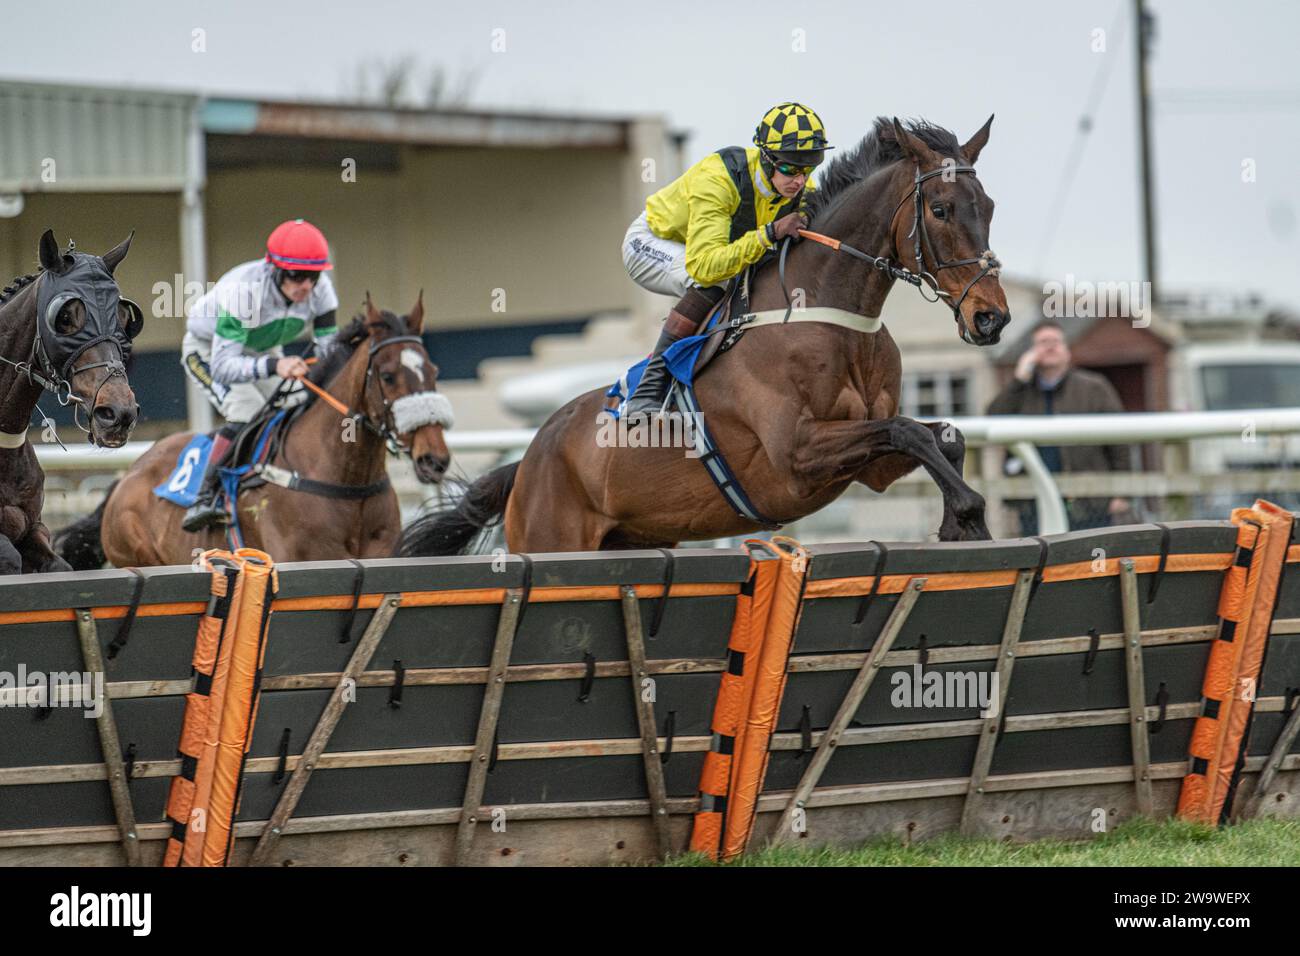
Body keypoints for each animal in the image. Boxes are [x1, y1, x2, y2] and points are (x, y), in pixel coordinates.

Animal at [0, 230, 141, 574]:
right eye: (64, 317)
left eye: (124, 317)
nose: (118, 413)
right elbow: (8, 557)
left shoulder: (33, 527)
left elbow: (59, 566)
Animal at [400, 117, 1008, 561]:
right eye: (940, 209)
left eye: (990, 207)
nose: (991, 318)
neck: (829, 317)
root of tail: (527, 460)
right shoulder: (796, 456)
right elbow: (908, 430)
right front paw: (968, 512)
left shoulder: (869, 468)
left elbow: (938, 434)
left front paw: (962, 522)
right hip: (551, 539)